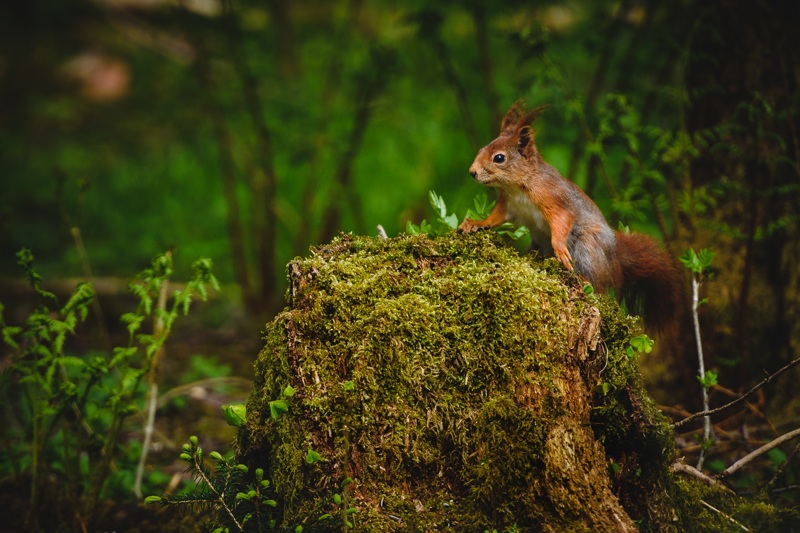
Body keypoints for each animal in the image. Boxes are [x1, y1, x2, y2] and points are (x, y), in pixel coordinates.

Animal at [460, 101, 680, 332]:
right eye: (481, 149)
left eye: (499, 158)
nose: (472, 172)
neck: (517, 186)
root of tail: (613, 263)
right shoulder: (508, 206)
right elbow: (494, 219)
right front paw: (475, 223)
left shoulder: (554, 199)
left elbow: (562, 220)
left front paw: (560, 249)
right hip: (537, 245)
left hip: (587, 247)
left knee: (598, 287)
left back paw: (584, 279)